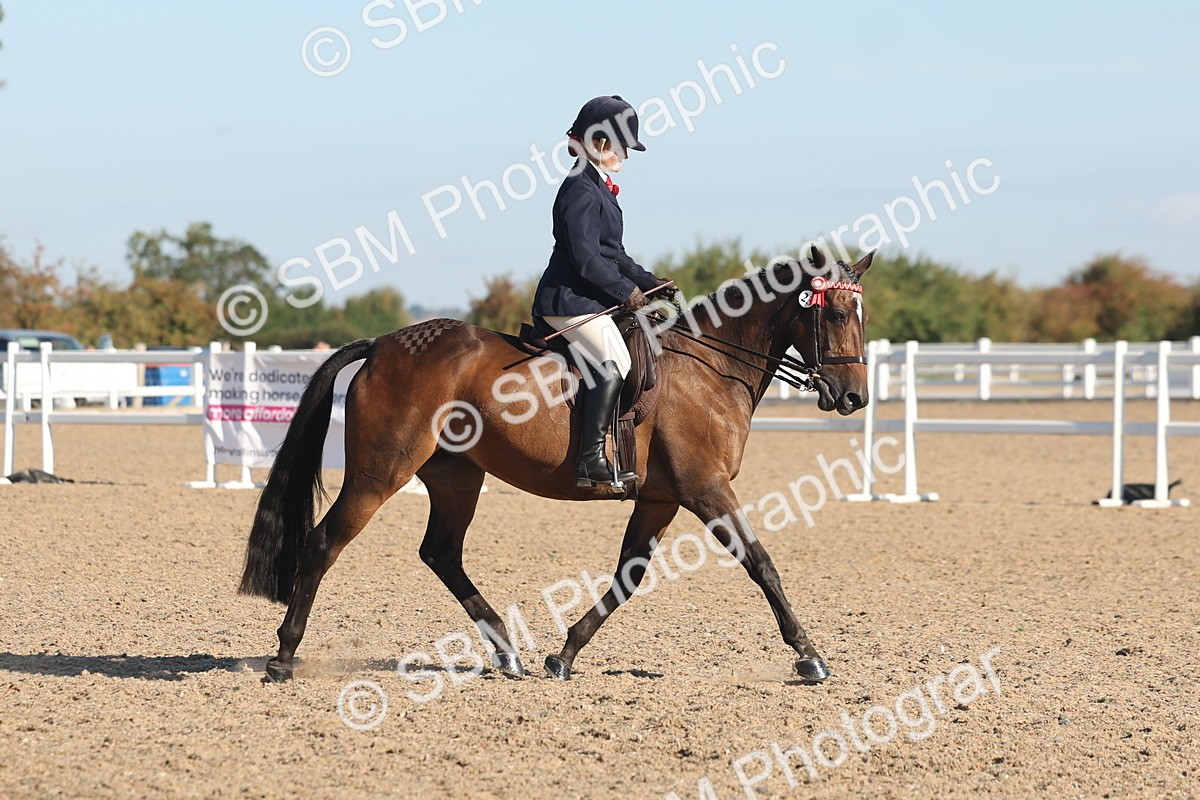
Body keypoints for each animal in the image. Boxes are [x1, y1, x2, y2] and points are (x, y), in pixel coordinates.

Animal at [238, 246, 874, 684]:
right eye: (834, 314)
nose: (853, 398)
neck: (710, 366)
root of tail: (382, 344)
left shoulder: (660, 497)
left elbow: (628, 575)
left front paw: (563, 655)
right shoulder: (705, 489)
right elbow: (762, 564)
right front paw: (810, 657)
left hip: (456, 476)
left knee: (441, 553)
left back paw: (507, 652)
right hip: (379, 473)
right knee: (325, 543)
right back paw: (283, 657)